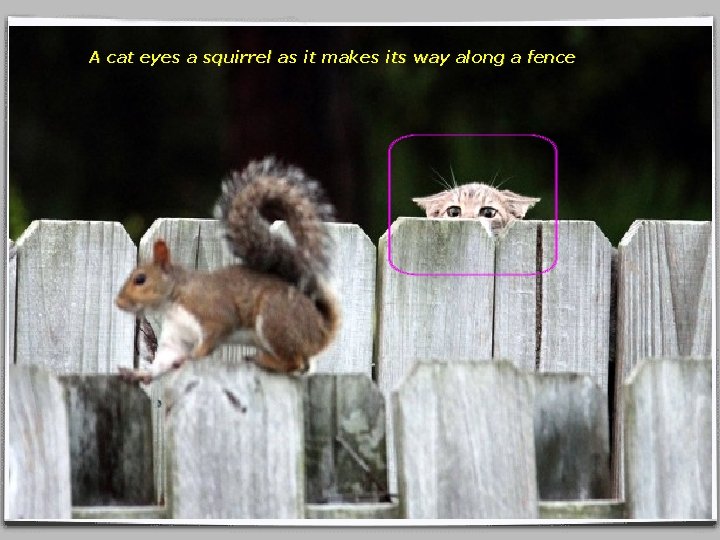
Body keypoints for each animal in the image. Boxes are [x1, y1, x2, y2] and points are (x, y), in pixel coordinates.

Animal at [115, 156, 340, 384]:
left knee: (294, 362)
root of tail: (320, 328)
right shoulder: (176, 335)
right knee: (303, 366)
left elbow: (210, 340)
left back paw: (262, 360)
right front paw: (140, 373)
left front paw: (189, 358)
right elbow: (164, 359)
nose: (118, 302)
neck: (174, 299)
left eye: (140, 279)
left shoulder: (212, 313)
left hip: (275, 318)